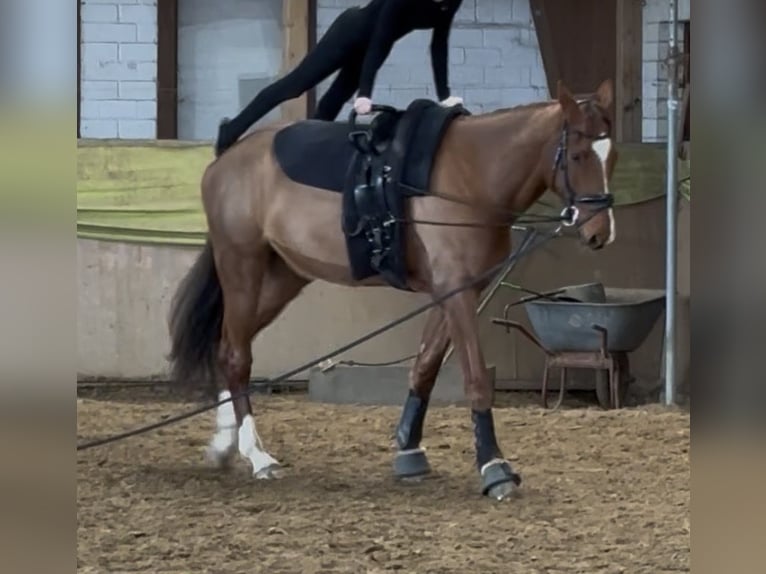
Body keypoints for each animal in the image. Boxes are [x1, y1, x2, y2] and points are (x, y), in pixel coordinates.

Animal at [168, 78, 618, 500]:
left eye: (612, 154)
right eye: (578, 155)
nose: (600, 233)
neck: (472, 174)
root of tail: (225, 160)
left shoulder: (454, 292)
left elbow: (425, 367)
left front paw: (409, 452)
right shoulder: (457, 292)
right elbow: (474, 377)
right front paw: (495, 468)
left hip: (284, 277)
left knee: (229, 346)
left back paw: (225, 446)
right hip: (242, 266)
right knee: (237, 355)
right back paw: (257, 455)